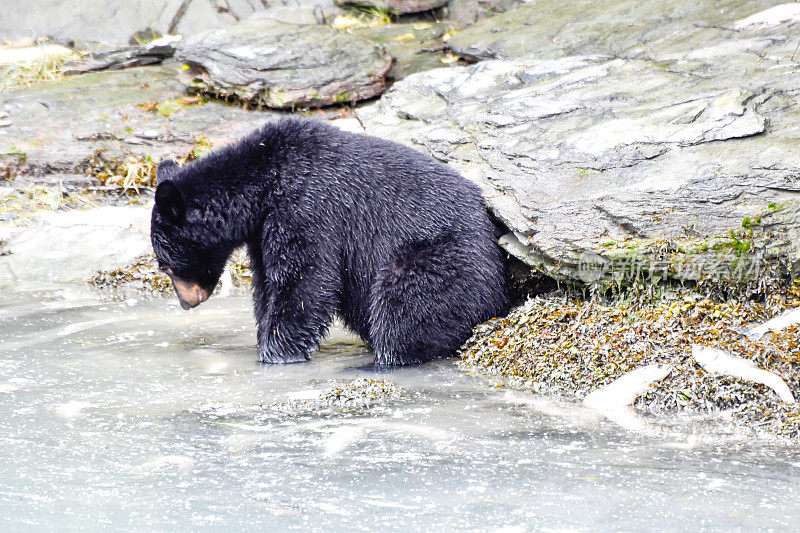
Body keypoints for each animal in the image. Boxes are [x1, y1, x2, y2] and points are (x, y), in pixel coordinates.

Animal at [150, 118, 510, 364]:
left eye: (165, 265)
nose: (186, 303)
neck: (265, 181)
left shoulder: (307, 207)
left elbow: (305, 279)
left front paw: (276, 353)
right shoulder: (263, 229)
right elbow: (266, 283)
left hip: (440, 261)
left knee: (404, 304)